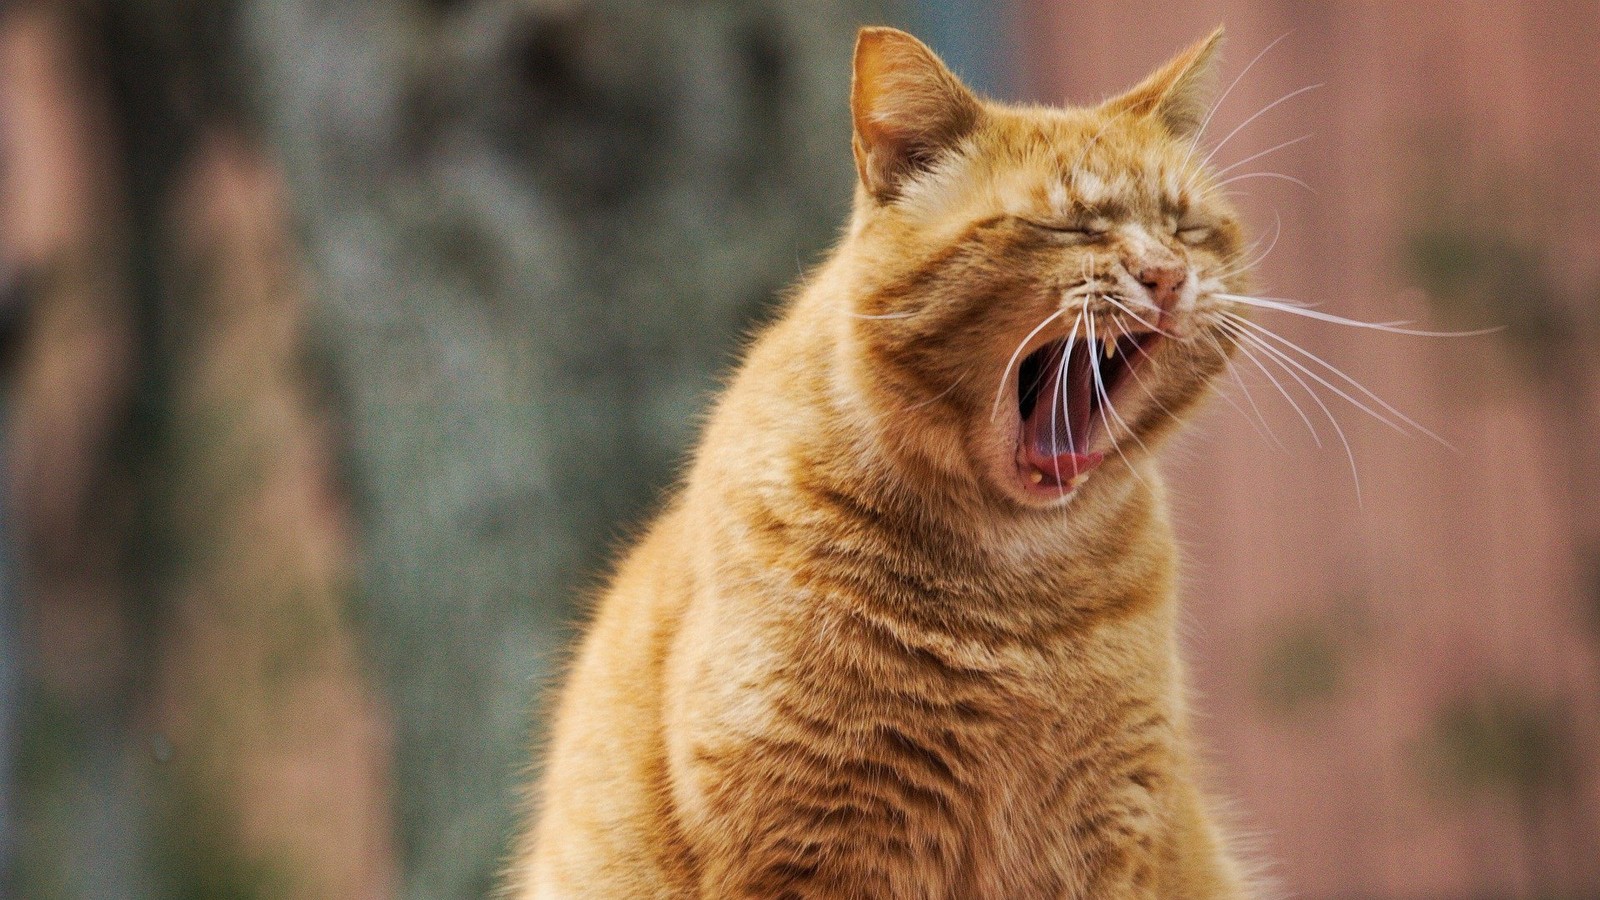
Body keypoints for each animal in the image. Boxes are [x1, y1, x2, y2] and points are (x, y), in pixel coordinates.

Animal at [512, 24, 1260, 890]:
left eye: (1185, 228)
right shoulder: (807, 844)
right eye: (1069, 228)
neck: (1016, 600)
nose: (1166, 276)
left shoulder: (1112, 836)